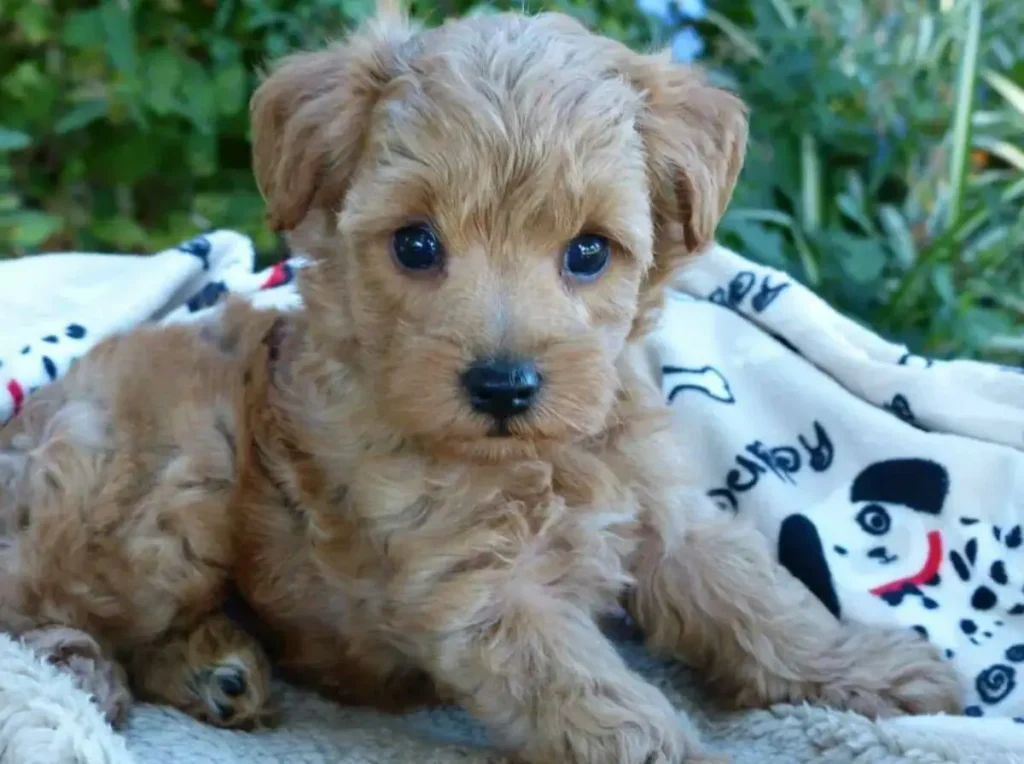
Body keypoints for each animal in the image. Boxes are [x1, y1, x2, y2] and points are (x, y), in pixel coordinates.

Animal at [0, 4, 958, 757]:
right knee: (37, 603)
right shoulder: (480, 593)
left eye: (588, 251)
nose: (503, 386)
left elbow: (761, 604)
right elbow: (605, 704)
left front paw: (866, 668)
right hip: (171, 485)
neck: (539, 462)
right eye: (416, 244)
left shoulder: (668, 519)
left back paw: (215, 667)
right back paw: (96, 671)